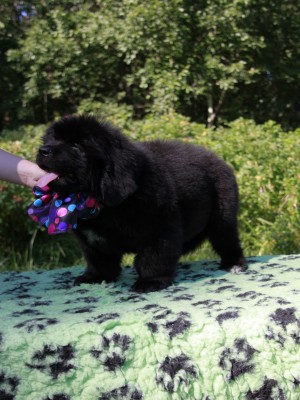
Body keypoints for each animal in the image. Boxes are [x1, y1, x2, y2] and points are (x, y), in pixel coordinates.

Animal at [36, 114, 246, 292]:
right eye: (49, 141)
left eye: (76, 146)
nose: (42, 150)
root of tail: (221, 161)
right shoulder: (91, 242)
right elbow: (99, 261)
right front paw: (94, 278)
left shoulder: (160, 231)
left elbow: (152, 259)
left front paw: (150, 282)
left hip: (222, 219)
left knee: (227, 241)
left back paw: (234, 264)